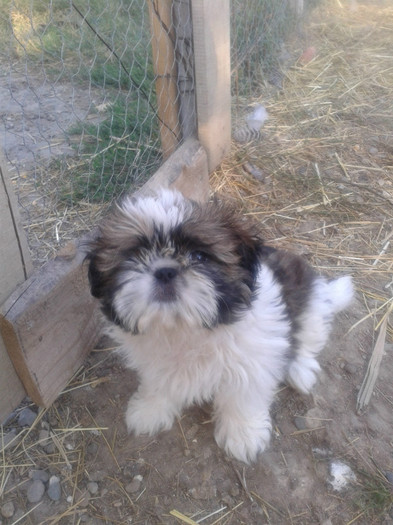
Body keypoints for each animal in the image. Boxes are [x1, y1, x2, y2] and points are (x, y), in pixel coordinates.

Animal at [86, 189, 352, 462]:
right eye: (135, 255)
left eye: (199, 256)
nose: (165, 271)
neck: (184, 329)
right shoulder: (154, 363)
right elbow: (158, 383)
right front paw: (150, 409)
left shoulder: (253, 361)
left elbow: (242, 398)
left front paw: (243, 435)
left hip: (311, 305)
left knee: (307, 338)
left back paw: (300, 370)